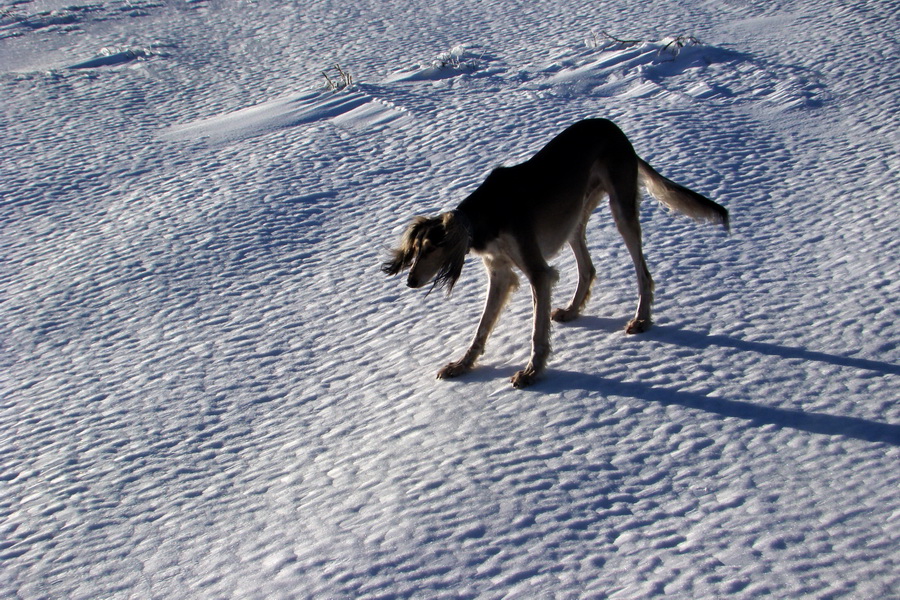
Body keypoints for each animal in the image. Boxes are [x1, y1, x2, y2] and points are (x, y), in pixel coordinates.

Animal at [384, 118, 728, 390]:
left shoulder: (538, 272)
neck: (487, 215)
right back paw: (573, 310)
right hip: (574, 216)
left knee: (643, 272)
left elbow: (537, 333)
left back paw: (642, 319)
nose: (410, 281)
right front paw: (463, 365)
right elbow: (482, 328)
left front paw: (531, 372)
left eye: (431, 249)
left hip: (621, 209)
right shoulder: (500, 273)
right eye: (415, 250)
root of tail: (613, 128)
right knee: (588, 268)